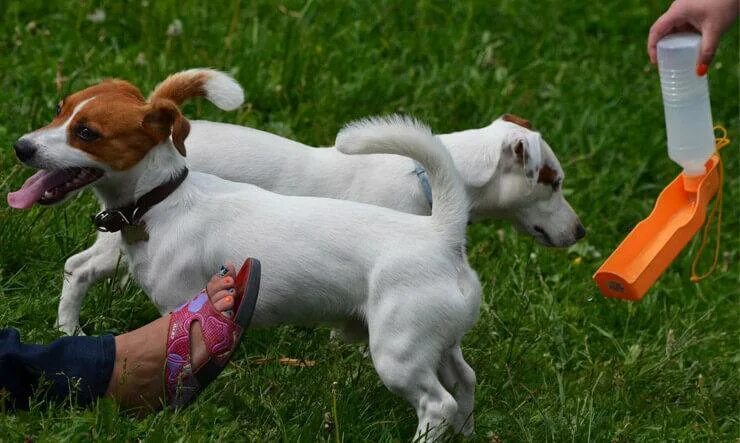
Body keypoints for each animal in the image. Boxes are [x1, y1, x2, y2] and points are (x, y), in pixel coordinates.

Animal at [11, 77, 486, 440]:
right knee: (464, 382)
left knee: (437, 404)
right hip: (437, 343)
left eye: (87, 133)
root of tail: (440, 235)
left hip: (398, 352)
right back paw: (466, 432)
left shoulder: (179, 306)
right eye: (60, 110)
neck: (162, 200)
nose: (20, 146)